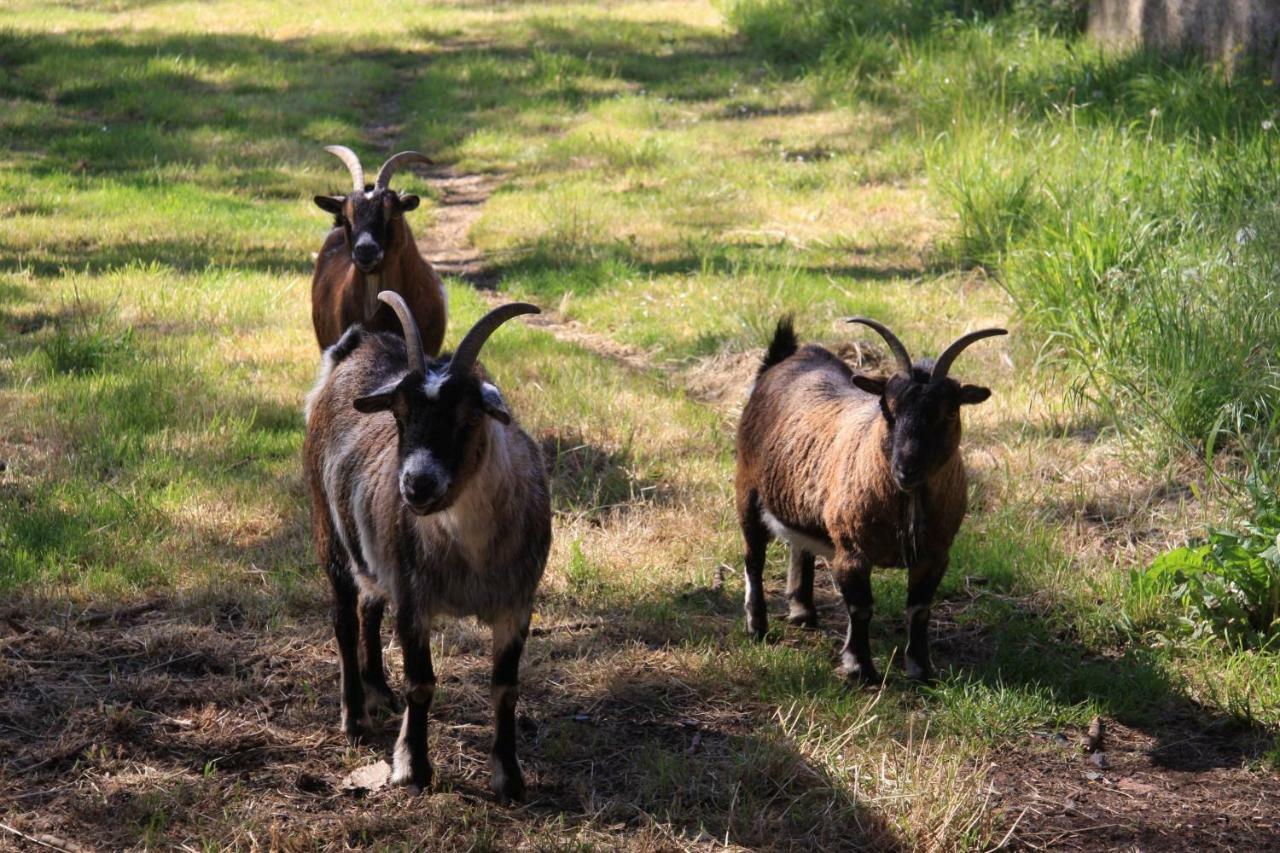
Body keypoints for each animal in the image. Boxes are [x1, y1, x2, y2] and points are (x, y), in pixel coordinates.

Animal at [737, 318, 1003, 686]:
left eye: (950, 412)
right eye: (886, 408)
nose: (906, 468)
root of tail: (787, 357)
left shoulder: (935, 555)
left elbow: (919, 611)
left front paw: (921, 669)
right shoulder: (851, 552)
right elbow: (860, 608)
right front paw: (859, 668)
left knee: (800, 546)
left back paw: (803, 611)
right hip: (747, 488)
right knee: (753, 558)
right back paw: (757, 626)